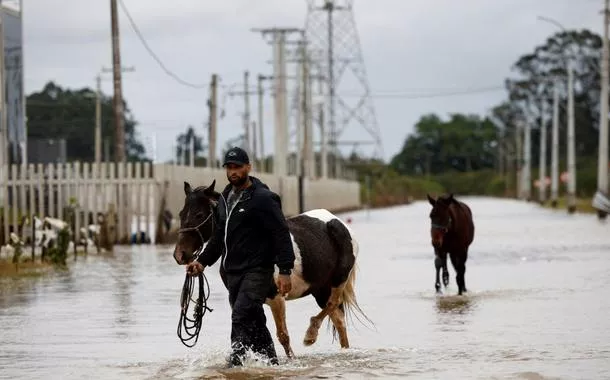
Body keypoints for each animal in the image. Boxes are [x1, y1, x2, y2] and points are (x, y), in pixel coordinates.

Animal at [172, 180, 370, 358]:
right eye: (181, 213)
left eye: (199, 214)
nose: (180, 255)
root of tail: (338, 222)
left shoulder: (277, 298)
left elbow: (283, 336)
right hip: (320, 288)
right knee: (339, 319)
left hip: (338, 279)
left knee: (332, 305)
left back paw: (310, 335)